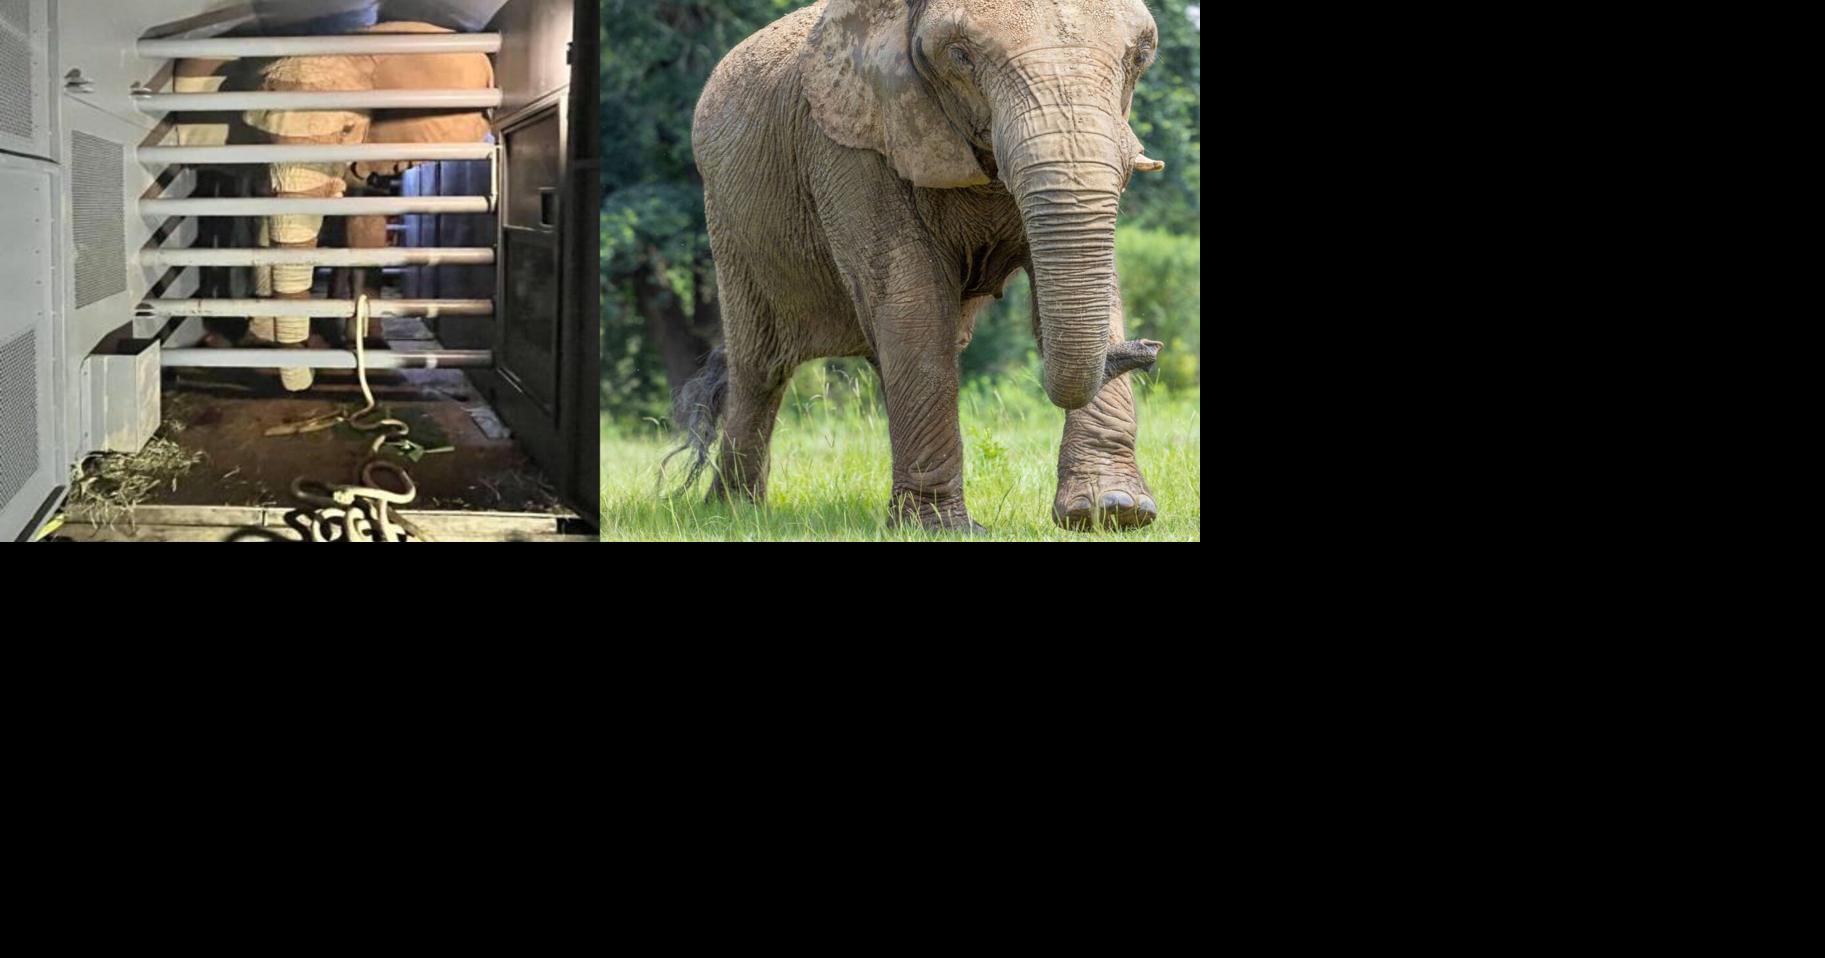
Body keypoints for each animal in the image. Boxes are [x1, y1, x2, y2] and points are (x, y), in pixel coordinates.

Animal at [678, 0, 1169, 531]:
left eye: (1140, 56)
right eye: (960, 56)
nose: (1149, 348)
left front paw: (1112, 512)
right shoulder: (850, 144)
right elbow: (914, 304)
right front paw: (940, 528)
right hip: (729, 224)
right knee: (760, 368)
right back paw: (733, 511)